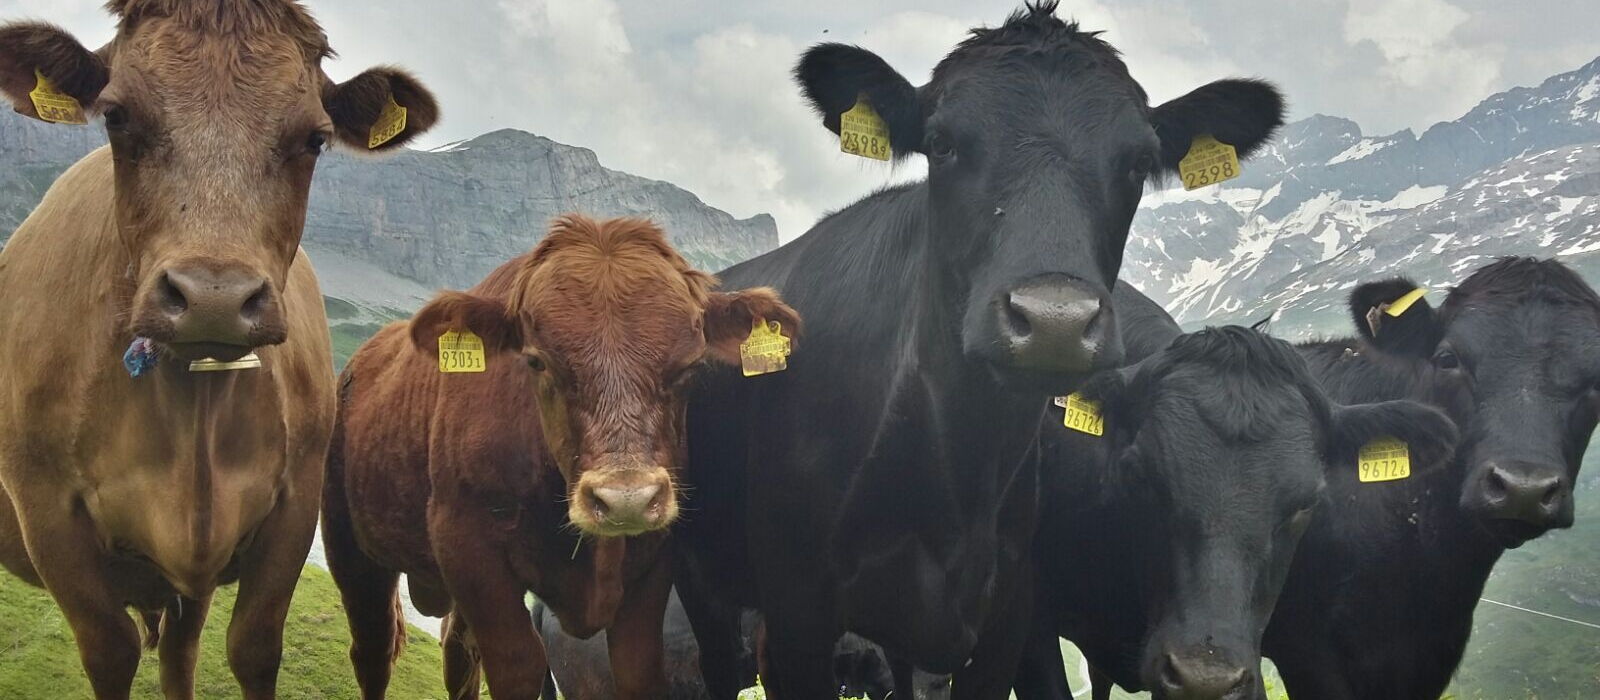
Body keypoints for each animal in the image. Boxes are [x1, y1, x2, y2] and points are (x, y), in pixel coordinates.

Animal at [0, 1, 437, 697]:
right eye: (116, 116)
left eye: (315, 139)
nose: (213, 296)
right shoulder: (45, 511)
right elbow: (110, 651)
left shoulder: (295, 504)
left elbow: (254, 647)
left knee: (180, 650)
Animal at [322, 214, 801, 700]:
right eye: (537, 362)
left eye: (690, 366)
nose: (624, 499)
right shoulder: (468, 546)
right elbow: (518, 665)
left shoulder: (652, 563)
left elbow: (638, 670)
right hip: (348, 545)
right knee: (374, 649)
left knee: (458, 654)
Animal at [674, 3, 1286, 697]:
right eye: (942, 144)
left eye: (1137, 162)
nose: (1053, 319)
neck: (951, 465)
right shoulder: (797, 611)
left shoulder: (1007, 619)